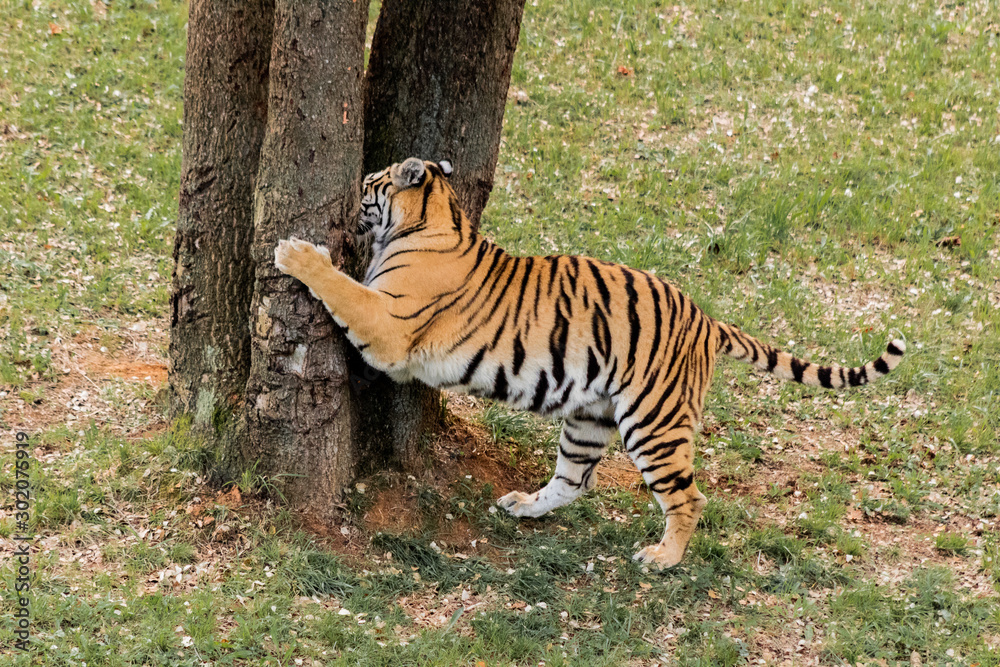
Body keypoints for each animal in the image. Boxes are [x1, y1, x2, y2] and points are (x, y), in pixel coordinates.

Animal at [274, 157, 905, 568]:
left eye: (370, 183)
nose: (355, 189)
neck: (437, 218)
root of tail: (705, 319)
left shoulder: (389, 326)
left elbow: (342, 287)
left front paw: (296, 253)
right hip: (588, 416)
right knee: (573, 480)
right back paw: (523, 506)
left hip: (654, 423)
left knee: (688, 497)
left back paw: (662, 558)